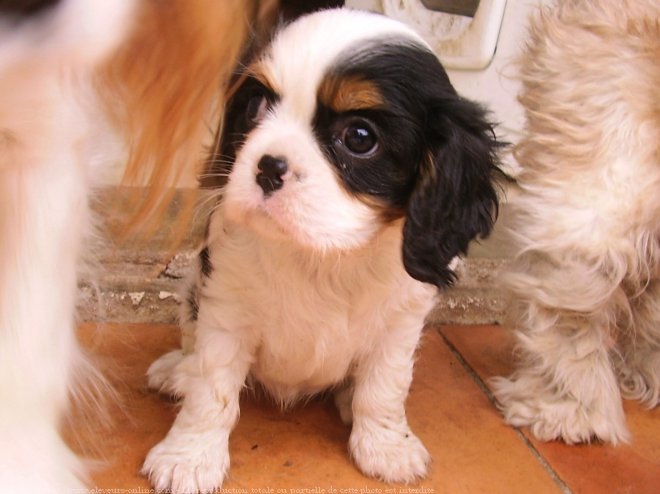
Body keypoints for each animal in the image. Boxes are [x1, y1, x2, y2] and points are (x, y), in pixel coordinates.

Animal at [143, 8, 500, 494]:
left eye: (360, 137)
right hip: (190, 293)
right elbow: (211, 388)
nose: (267, 166)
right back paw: (176, 371)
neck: (322, 254)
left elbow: (384, 389)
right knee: (189, 345)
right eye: (255, 106)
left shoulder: (400, 325)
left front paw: (387, 447)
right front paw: (189, 458)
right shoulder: (225, 309)